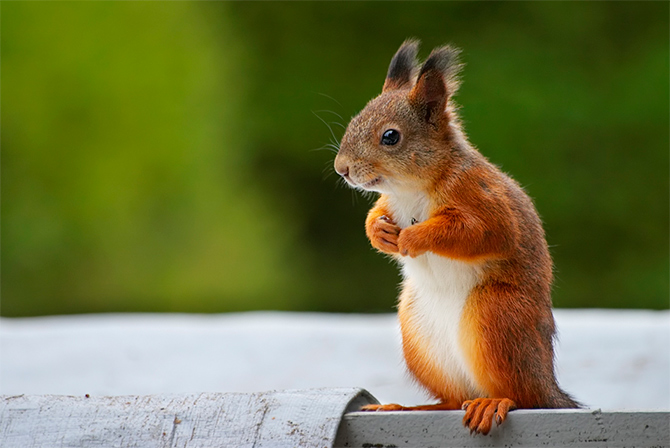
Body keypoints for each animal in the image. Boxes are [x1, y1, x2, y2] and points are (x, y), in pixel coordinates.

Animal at [336, 41, 584, 434]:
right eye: (353, 121)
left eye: (390, 136)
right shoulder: (389, 202)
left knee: (522, 397)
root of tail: (547, 384)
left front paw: (415, 237)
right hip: (420, 339)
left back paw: (494, 402)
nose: (341, 168)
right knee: (453, 399)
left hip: (496, 316)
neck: (411, 188)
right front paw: (381, 233)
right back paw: (408, 408)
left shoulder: (483, 201)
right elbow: (375, 216)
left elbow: (481, 234)